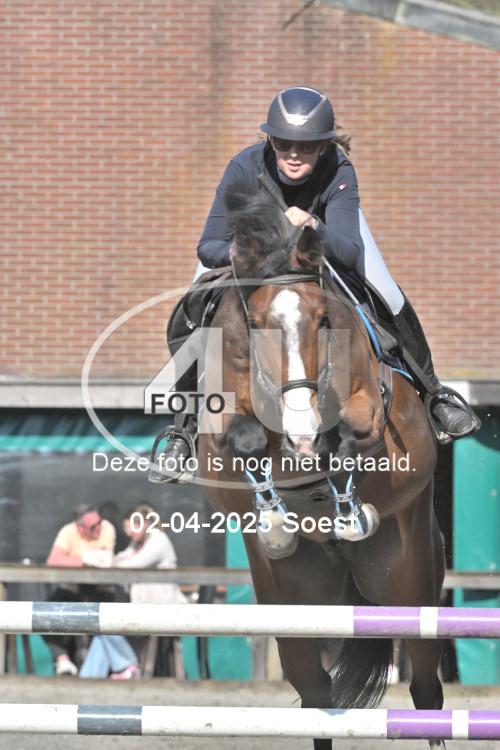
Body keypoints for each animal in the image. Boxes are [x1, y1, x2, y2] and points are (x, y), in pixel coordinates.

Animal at [197, 184, 446, 750]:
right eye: (257, 325)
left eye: (324, 320)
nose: (301, 430)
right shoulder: (219, 429)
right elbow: (247, 441)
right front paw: (273, 518)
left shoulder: (374, 409)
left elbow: (351, 433)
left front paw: (344, 501)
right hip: (295, 607)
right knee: (315, 697)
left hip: (406, 584)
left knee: (427, 689)